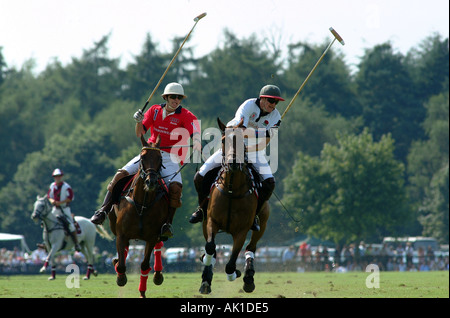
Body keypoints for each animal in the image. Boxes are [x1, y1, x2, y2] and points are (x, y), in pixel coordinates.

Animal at [109, 135, 169, 298]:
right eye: (142, 158)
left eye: (160, 158)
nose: (151, 181)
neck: (142, 204)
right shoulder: (121, 234)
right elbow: (122, 265)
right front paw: (120, 276)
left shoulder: (151, 237)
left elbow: (144, 265)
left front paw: (142, 292)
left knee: (159, 244)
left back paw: (158, 275)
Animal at [200, 118, 270, 294]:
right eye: (224, 140)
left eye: (242, 141)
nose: (232, 162)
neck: (231, 188)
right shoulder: (211, 221)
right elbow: (210, 247)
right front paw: (206, 273)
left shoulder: (241, 230)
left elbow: (231, 263)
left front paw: (234, 274)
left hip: (263, 223)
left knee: (251, 247)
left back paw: (248, 278)